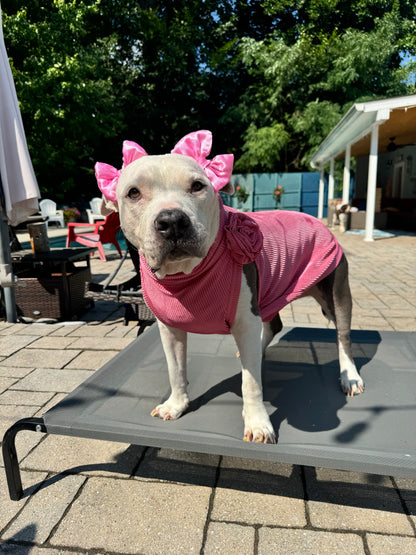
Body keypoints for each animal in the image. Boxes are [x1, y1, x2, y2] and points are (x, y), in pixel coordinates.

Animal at [96, 129, 362, 444]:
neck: (186, 274)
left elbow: (251, 383)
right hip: (269, 293)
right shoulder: (170, 328)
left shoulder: (245, 320)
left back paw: (350, 376)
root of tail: (317, 220)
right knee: (273, 326)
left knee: (343, 335)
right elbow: (176, 369)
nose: (172, 220)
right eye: (133, 193)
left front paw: (258, 423)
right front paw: (176, 404)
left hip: (335, 292)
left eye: (197, 186)